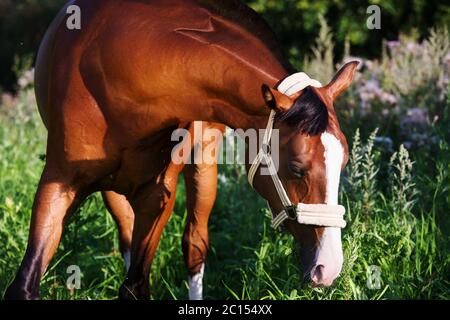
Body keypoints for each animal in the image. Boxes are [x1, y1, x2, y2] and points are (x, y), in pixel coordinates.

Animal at [2, 0, 356, 300]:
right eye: (296, 168)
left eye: (343, 164)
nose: (328, 268)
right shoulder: (59, 183)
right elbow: (25, 284)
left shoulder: (157, 196)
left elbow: (136, 284)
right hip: (112, 188)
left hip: (202, 164)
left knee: (194, 245)